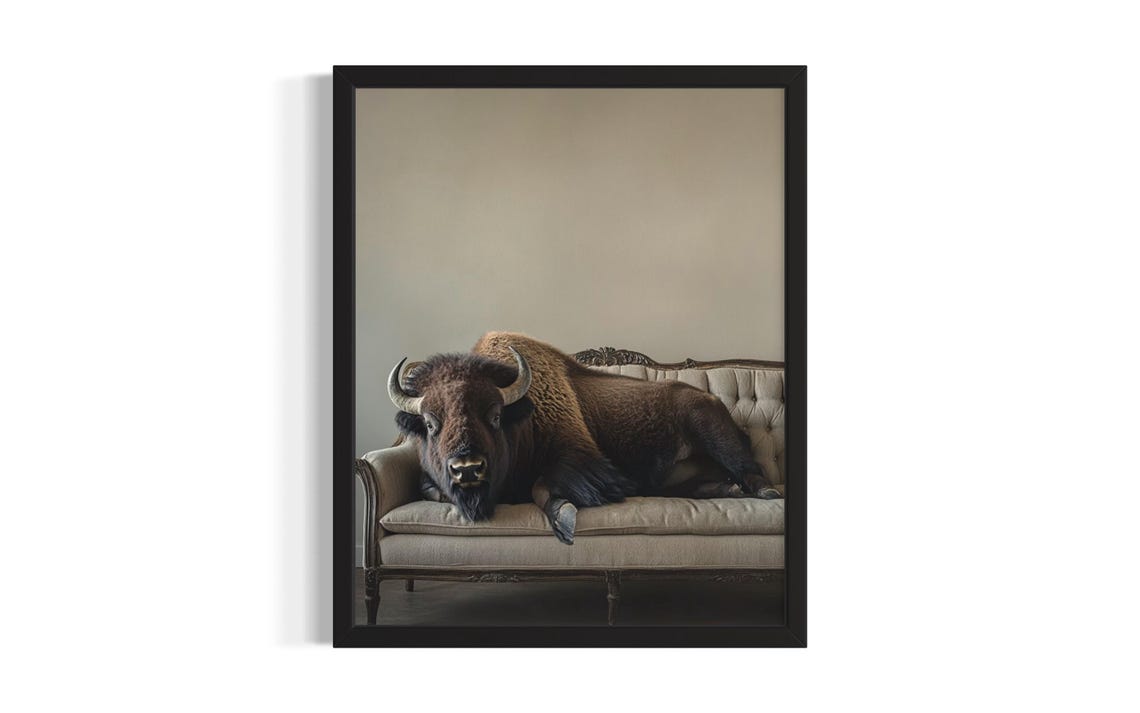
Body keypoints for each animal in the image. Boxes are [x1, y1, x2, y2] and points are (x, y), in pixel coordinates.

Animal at [388, 332, 782, 544]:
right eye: (430, 423)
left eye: (496, 416)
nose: (467, 468)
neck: (522, 416)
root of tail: (712, 399)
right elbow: (429, 489)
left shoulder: (581, 458)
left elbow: (544, 487)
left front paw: (564, 520)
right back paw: (730, 491)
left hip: (714, 433)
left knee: (752, 470)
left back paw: (765, 493)